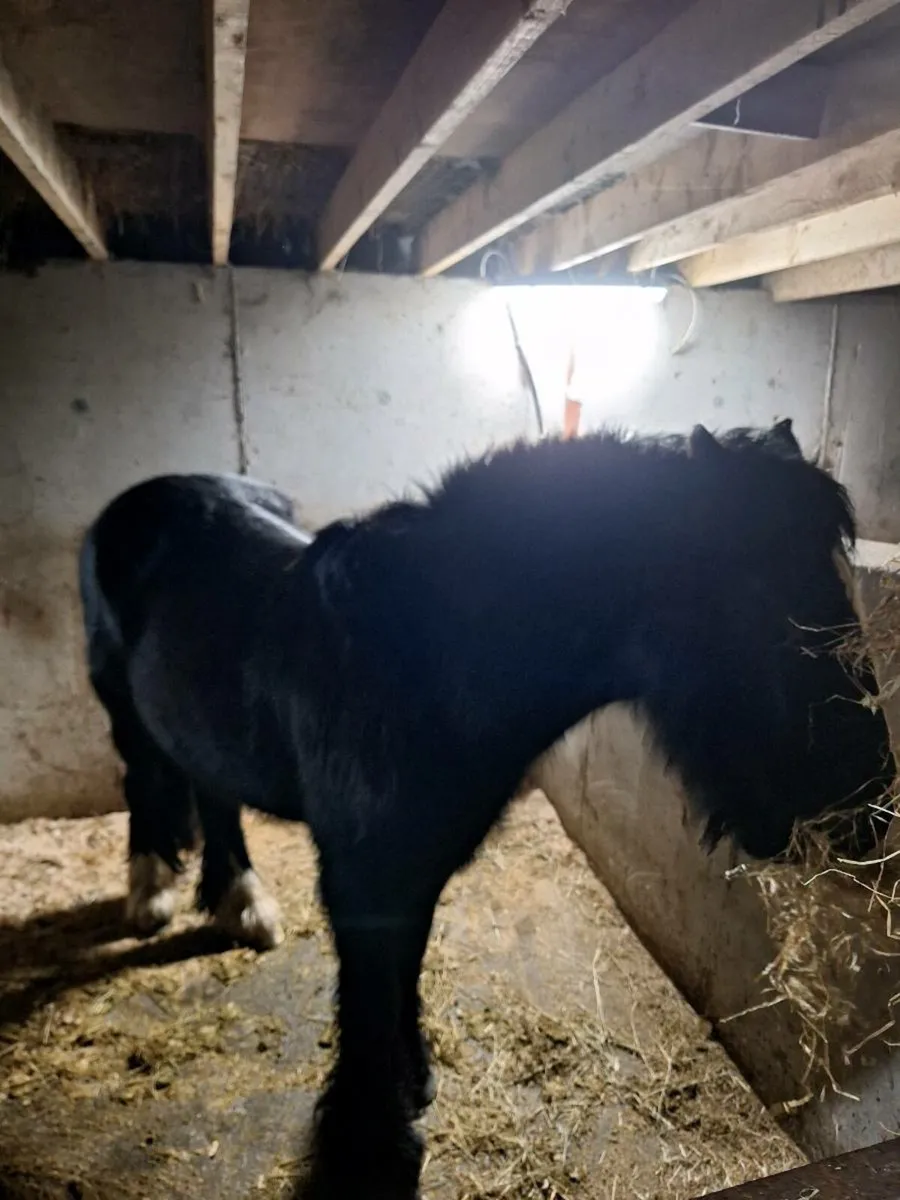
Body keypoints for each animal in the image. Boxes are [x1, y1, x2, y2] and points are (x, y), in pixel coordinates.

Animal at [78, 419, 894, 1199]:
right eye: (759, 597)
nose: (871, 807)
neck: (417, 657)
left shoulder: (417, 868)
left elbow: (402, 975)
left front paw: (413, 1082)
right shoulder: (362, 879)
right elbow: (366, 1005)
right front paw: (373, 1152)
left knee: (210, 791)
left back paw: (240, 903)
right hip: (120, 703)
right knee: (145, 781)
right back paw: (152, 895)